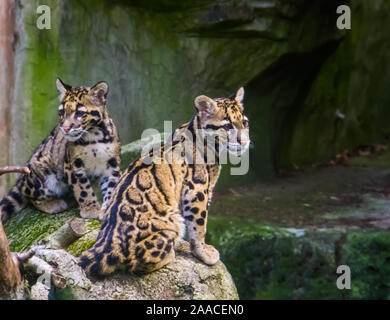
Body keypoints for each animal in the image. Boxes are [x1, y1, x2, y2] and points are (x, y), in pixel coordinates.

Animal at [0, 79, 120, 225]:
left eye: (80, 113)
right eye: (62, 113)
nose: (65, 128)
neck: (94, 136)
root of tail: (22, 180)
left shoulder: (112, 165)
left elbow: (112, 188)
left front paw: (108, 208)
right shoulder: (73, 166)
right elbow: (83, 190)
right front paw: (91, 210)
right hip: (40, 173)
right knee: (32, 198)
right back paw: (55, 204)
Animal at [79, 87, 250, 278]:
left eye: (245, 123)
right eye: (227, 126)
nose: (244, 141)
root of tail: (107, 243)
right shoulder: (196, 190)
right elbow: (199, 225)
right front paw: (204, 252)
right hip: (172, 224)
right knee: (139, 265)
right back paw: (170, 254)